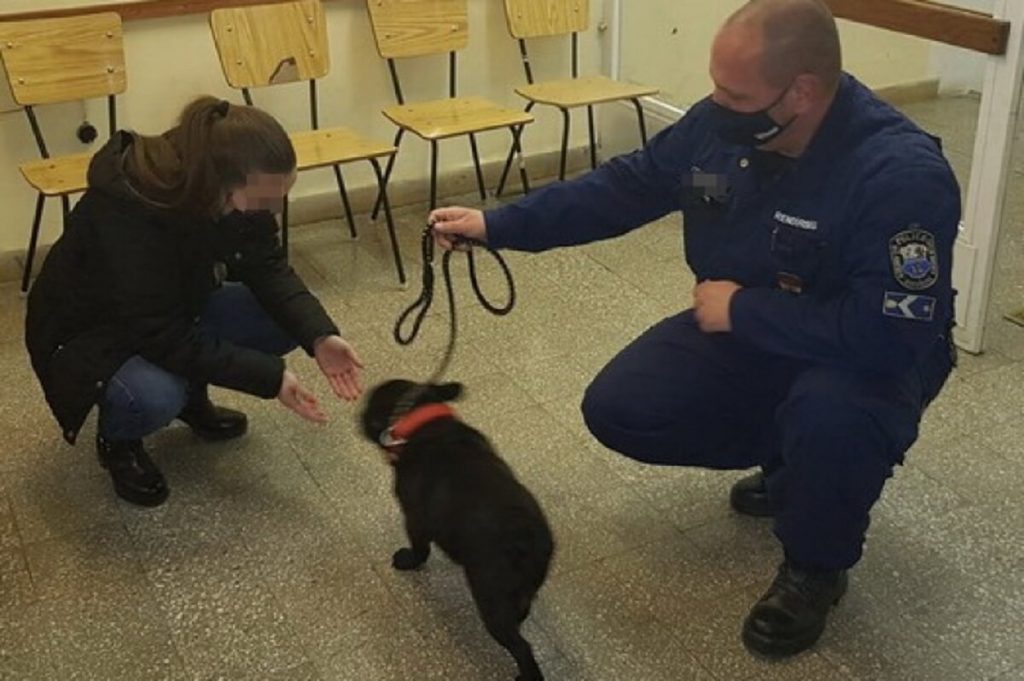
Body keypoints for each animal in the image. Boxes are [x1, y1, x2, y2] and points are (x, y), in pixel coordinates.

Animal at [360, 379, 554, 681]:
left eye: (369, 409)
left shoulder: (415, 517)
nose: (358, 414)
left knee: (520, 646)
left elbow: (420, 547)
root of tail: (527, 538)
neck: (420, 419)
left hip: (492, 600)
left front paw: (409, 560)